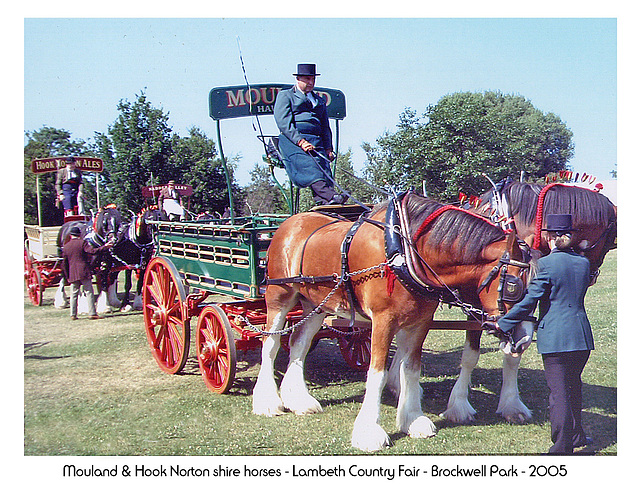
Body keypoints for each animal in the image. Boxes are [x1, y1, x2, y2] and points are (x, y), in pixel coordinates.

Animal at [252, 191, 532, 450]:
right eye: (513, 286)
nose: (524, 339)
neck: (404, 252)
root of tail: (290, 222)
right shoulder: (383, 321)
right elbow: (377, 373)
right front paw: (368, 431)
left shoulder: (420, 322)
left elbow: (411, 369)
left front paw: (413, 419)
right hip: (279, 296)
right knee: (271, 345)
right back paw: (268, 401)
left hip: (315, 303)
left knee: (299, 343)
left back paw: (298, 400)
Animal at [432, 181, 616, 426]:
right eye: (608, 242)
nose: (592, 276)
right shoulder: (474, 306)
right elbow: (470, 356)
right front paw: (459, 406)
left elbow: (514, 354)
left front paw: (511, 404)